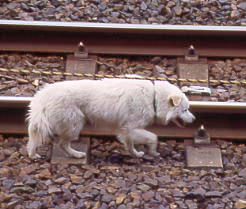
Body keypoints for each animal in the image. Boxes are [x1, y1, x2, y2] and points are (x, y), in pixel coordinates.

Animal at [26, 78, 195, 158]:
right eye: (185, 109)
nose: (194, 120)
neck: (153, 98)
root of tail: (43, 95)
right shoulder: (130, 128)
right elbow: (153, 137)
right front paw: (152, 152)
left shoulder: (125, 130)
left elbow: (130, 144)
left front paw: (135, 154)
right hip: (75, 124)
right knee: (62, 144)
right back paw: (77, 155)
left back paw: (33, 154)